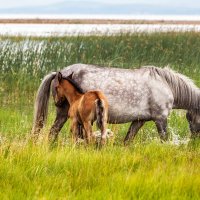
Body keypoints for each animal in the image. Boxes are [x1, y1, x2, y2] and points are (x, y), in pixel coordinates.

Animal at [31, 63, 200, 143]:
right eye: (190, 118)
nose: (194, 139)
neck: (165, 84)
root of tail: (59, 73)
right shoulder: (161, 119)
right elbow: (164, 139)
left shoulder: (139, 120)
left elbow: (128, 140)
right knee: (55, 132)